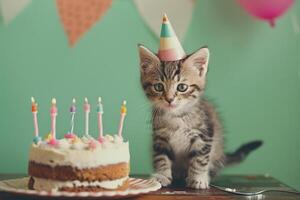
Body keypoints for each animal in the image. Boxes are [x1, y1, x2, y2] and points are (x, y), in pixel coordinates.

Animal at [139, 44, 262, 189]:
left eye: (182, 87)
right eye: (158, 87)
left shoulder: (204, 135)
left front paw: (198, 178)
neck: (177, 116)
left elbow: (200, 159)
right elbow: (161, 157)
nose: (169, 100)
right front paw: (162, 176)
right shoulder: (160, 137)